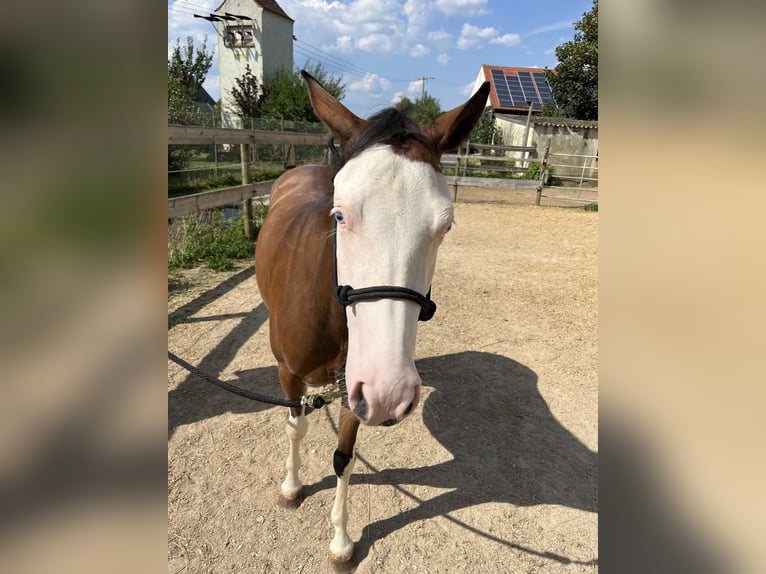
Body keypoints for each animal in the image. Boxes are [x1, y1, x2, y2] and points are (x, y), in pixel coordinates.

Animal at [255, 71, 488, 568]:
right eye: (340, 215)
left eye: (446, 227)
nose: (390, 391)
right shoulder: (289, 373)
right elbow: (295, 426)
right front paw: (291, 486)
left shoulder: (354, 390)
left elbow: (344, 458)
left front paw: (342, 541)